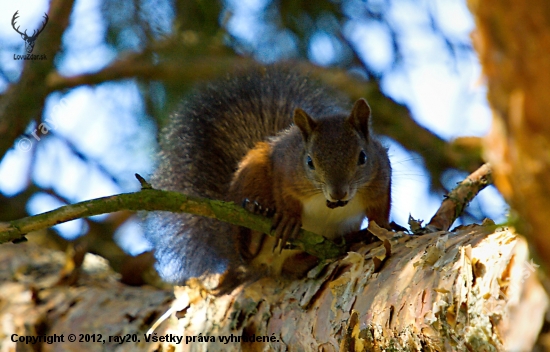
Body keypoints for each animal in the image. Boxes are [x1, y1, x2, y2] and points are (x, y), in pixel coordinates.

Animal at [144, 66, 390, 292]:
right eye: (309, 161)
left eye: (363, 157)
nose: (338, 193)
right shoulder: (285, 170)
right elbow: (284, 194)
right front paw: (289, 218)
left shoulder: (381, 178)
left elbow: (380, 211)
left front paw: (381, 230)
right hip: (252, 177)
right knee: (245, 251)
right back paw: (257, 218)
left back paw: (347, 240)